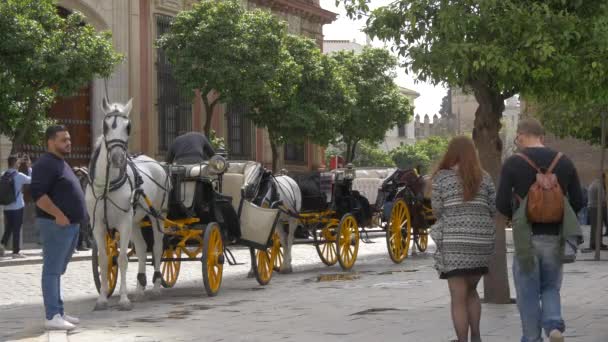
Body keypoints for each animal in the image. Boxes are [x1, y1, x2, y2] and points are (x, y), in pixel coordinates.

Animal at [86, 98, 169, 310]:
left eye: (128, 126)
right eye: (106, 126)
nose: (117, 158)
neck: (107, 187)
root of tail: (155, 163)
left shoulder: (123, 222)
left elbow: (122, 259)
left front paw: (124, 299)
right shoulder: (97, 225)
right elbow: (104, 260)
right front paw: (102, 298)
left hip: (157, 216)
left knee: (157, 247)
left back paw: (156, 286)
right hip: (136, 221)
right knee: (141, 248)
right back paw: (140, 289)